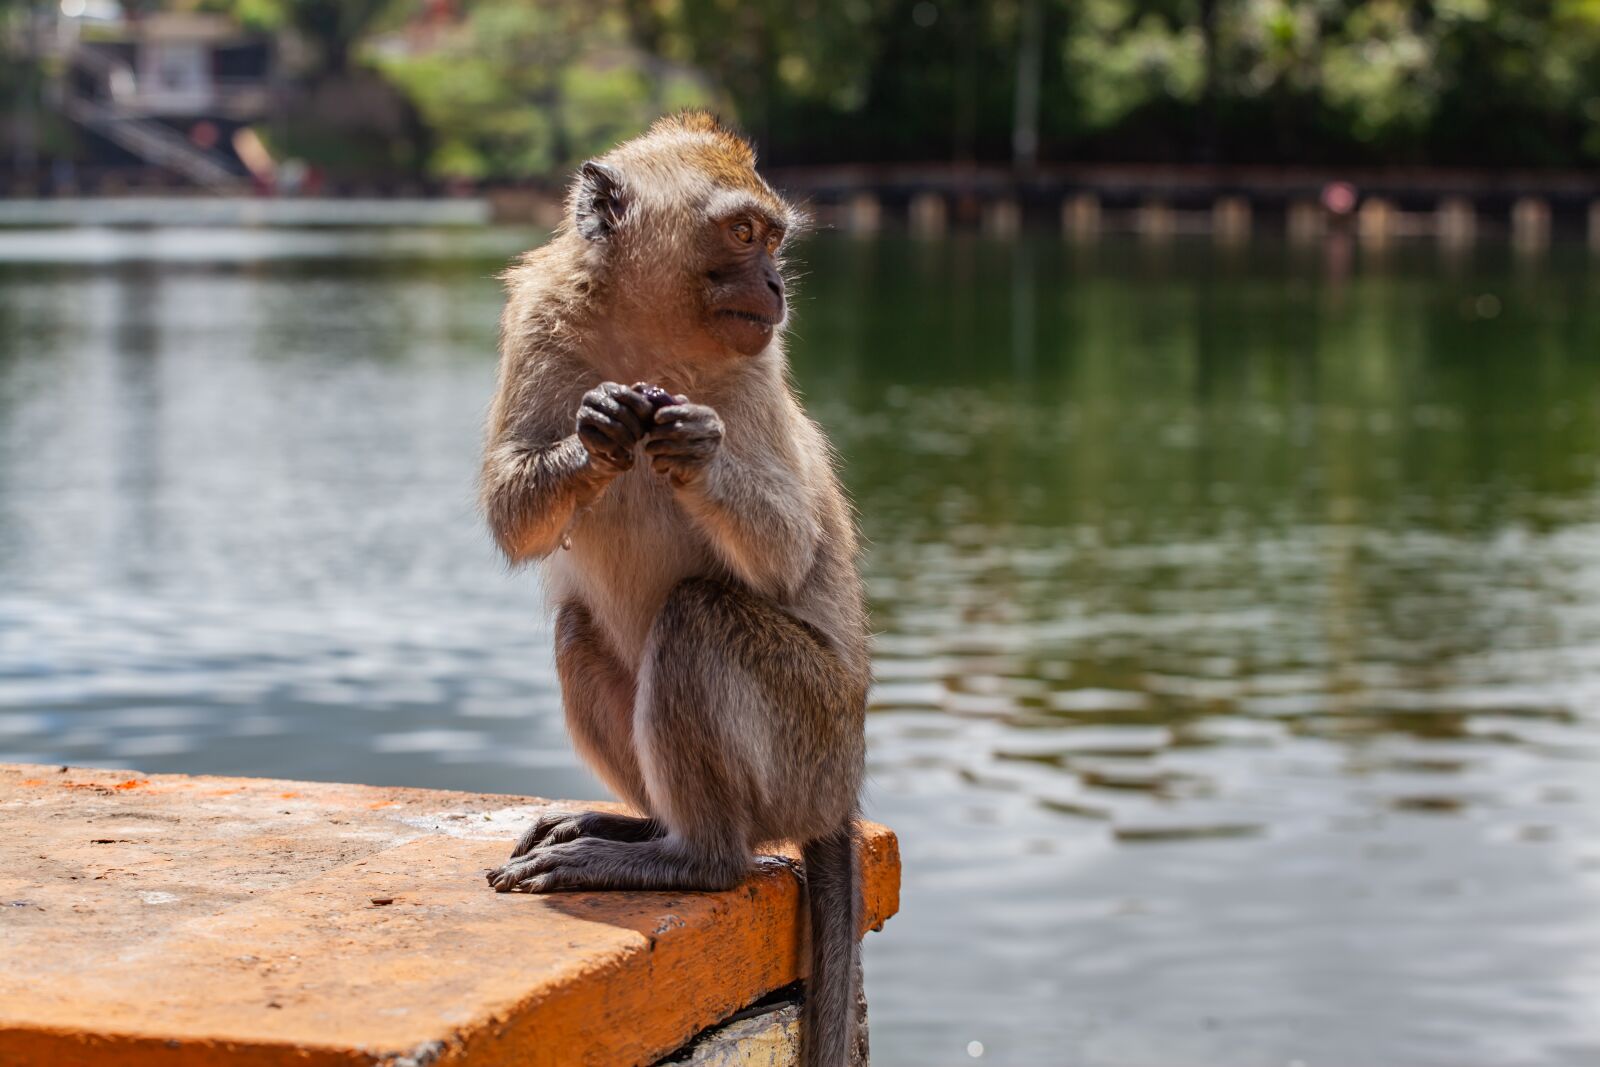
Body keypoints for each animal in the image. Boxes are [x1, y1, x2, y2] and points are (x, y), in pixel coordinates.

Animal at [476, 110, 870, 1067]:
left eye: (772, 237)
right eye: (743, 234)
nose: (774, 282)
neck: (646, 328)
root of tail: (839, 795)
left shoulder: (758, 368)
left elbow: (787, 551)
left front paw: (694, 446)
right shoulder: (536, 320)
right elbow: (512, 509)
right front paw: (595, 438)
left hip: (808, 739)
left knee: (700, 614)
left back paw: (694, 858)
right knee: (578, 630)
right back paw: (636, 830)